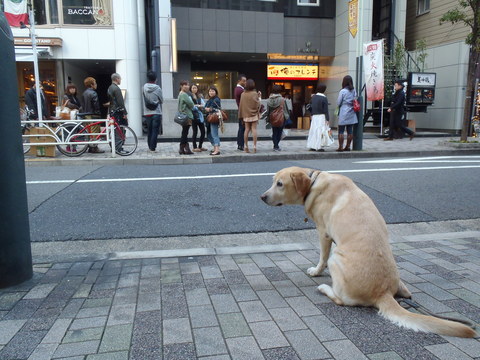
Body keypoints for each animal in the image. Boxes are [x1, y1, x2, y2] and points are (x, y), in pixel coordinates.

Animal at [262, 167, 476, 338]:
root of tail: (383, 293)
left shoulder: (324, 233)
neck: (314, 182)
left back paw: (324, 288)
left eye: (279, 184)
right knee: (406, 291)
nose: (262, 197)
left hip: (336, 258)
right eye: (273, 181)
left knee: (341, 299)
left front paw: (315, 271)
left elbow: (321, 257)